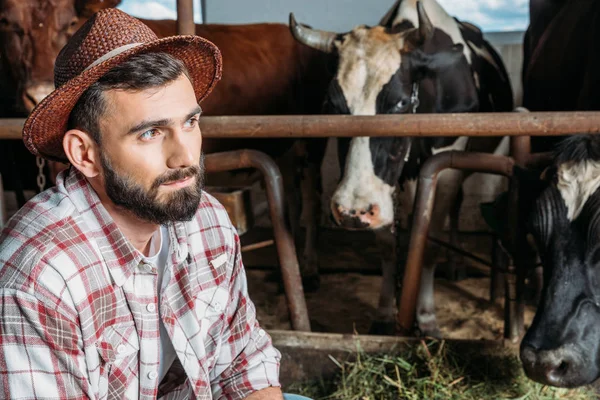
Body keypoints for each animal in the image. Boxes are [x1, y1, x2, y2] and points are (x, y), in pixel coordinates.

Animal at [288, 0, 512, 338]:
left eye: (401, 103)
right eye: (332, 105)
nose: (350, 211)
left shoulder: (447, 165)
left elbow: (430, 242)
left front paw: (426, 317)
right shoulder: (382, 193)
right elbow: (387, 247)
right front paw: (384, 313)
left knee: (457, 206)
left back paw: (456, 265)